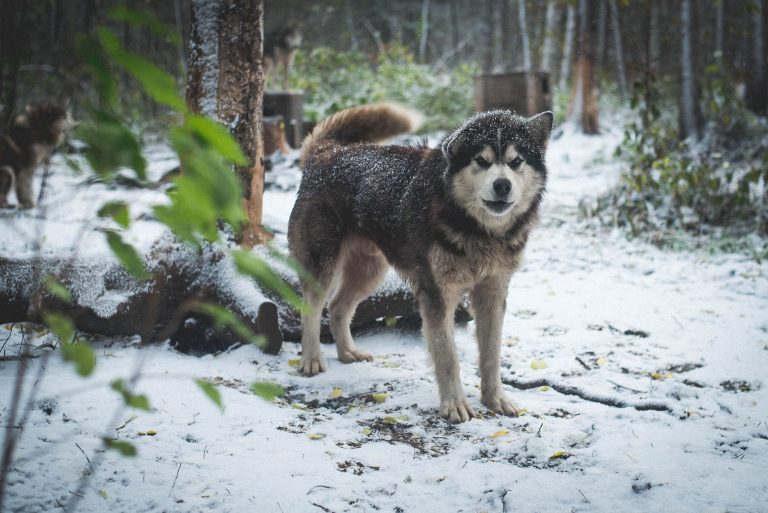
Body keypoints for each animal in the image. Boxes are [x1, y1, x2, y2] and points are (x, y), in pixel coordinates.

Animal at [288, 103, 552, 420]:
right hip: (322, 267)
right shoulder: (437, 296)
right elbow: (448, 357)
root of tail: (325, 153)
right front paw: (455, 404)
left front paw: (495, 399)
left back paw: (348, 353)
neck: (476, 228)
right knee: (312, 310)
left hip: (370, 271)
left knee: (338, 307)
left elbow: (491, 355)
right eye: (481, 160)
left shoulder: (493, 293)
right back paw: (311, 360)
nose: (502, 185)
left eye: (516, 161)